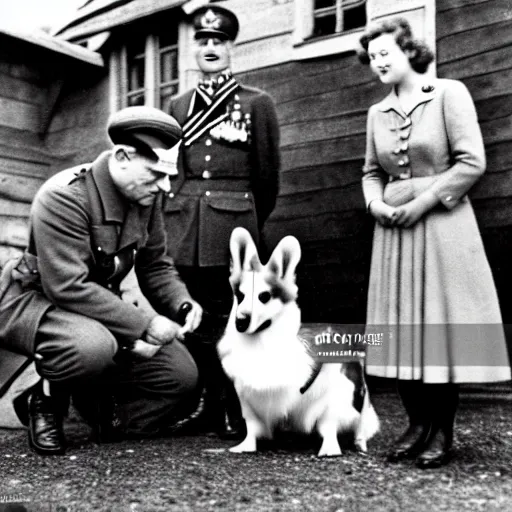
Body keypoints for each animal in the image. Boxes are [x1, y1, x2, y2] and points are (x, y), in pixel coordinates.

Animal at [217, 228, 380, 456]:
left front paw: (330, 448)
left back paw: (355, 443)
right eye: (239, 295)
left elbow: (330, 426)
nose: (240, 321)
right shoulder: (248, 399)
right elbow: (252, 427)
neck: (261, 341)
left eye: (264, 297)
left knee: (357, 423)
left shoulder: (332, 397)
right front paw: (246, 446)